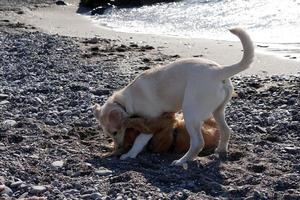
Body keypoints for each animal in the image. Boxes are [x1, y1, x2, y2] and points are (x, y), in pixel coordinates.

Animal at [95, 28, 254, 166]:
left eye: (115, 132)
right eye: (109, 134)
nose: (118, 147)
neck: (124, 101)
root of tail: (219, 71)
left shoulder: (151, 121)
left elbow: (139, 140)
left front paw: (129, 154)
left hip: (191, 113)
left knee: (198, 143)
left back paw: (181, 161)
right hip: (218, 111)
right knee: (226, 131)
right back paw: (220, 151)